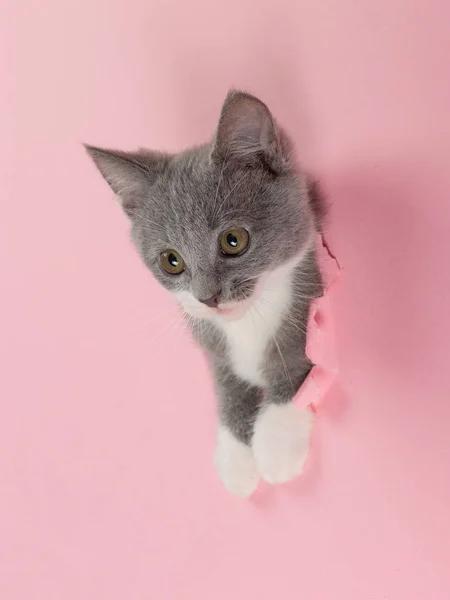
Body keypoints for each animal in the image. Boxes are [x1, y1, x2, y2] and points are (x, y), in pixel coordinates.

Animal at [86, 90, 322, 496]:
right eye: (171, 261)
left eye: (234, 240)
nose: (207, 296)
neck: (247, 323)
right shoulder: (213, 346)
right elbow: (227, 387)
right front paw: (236, 458)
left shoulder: (311, 292)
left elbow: (295, 362)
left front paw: (276, 443)